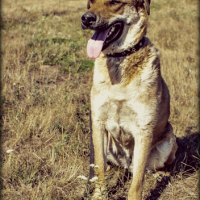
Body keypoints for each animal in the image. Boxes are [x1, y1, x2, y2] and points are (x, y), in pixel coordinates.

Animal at [80, 0, 177, 199]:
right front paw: (99, 194)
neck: (120, 59)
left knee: (151, 168)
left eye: (114, 2)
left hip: (169, 141)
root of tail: (126, 164)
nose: (86, 19)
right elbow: (99, 165)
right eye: (90, 3)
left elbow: (137, 180)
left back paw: (161, 175)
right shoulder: (98, 123)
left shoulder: (143, 130)